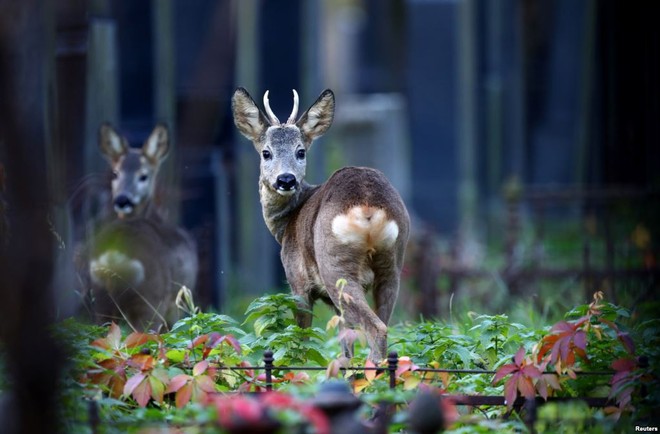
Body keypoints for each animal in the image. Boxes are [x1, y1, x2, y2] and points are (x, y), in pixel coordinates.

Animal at [78, 125, 199, 332]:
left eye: (143, 176)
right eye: (115, 174)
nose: (122, 200)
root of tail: (114, 256)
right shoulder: (177, 304)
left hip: (100, 300)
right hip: (151, 299)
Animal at [231, 86, 408, 362]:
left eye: (300, 151)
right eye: (266, 152)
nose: (286, 179)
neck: (286, 224)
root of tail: (368, 206)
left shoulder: (297, 282)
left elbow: (300, 340)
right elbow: (346, 347)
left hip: (335, 266)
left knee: (376, 328)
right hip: (392, 265)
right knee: (381, 323)